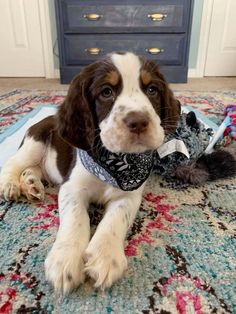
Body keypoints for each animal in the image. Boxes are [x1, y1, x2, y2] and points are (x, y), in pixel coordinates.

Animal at [0, 52, 180, 294]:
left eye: (152, 90)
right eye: (106, 92)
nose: (139, 122)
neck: (114, 163)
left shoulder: (129, 196)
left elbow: (115, 219)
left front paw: (106, 257)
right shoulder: (72, 188)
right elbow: (76, 217)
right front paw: (65, 259)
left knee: (35, 169)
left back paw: (31, 184)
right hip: (34, 142)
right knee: (13, 163)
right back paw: (11, 185)